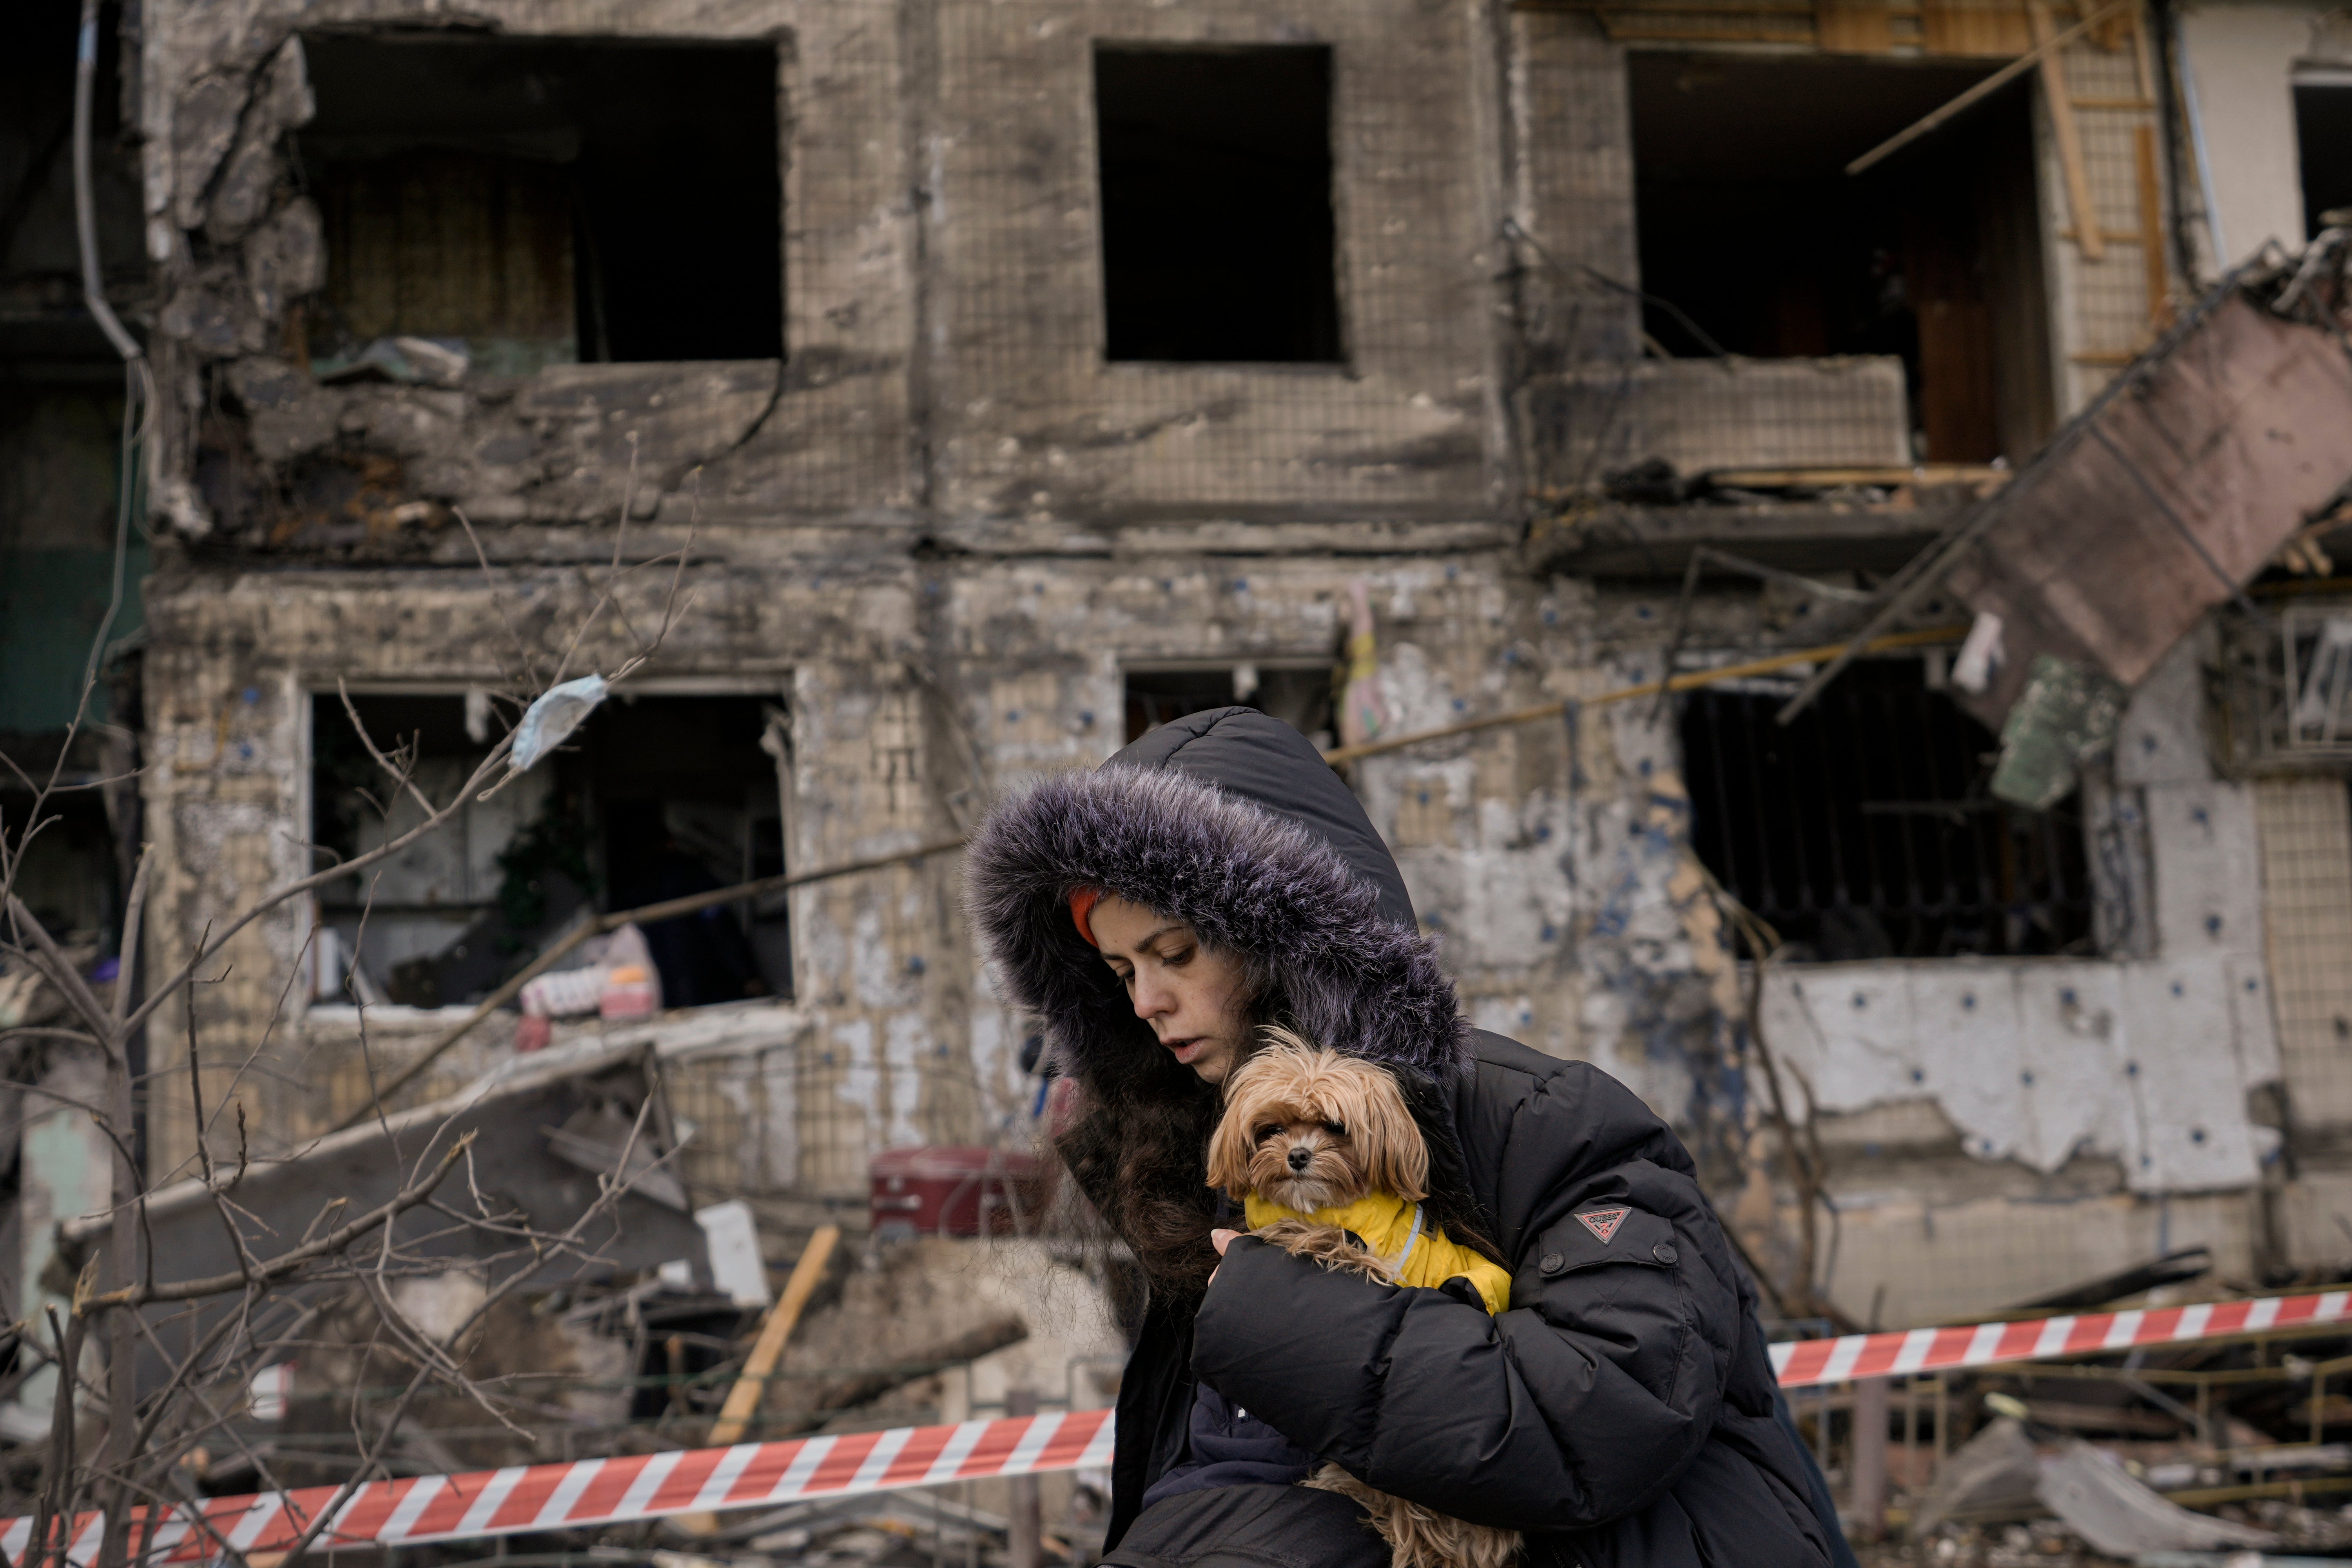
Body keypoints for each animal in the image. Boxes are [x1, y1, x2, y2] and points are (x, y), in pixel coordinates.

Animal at [1213, 1030, 1524, 1568]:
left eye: (1335, 1126)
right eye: (1272, 1127)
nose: (1297, 1156)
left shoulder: (1372, 1261)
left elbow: (1330, 1243)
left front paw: (1290, 1233)